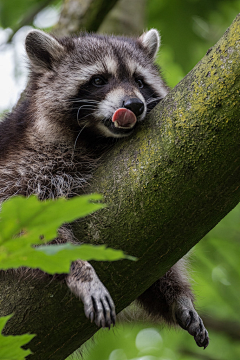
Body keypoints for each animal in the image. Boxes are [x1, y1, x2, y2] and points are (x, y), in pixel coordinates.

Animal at [0, 28, 208, 348]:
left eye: (139, 81)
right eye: (98, 80)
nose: (134, 105)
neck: (96, 139)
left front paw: (174, 294)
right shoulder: (25, 168)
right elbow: (24, 227)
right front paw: (81, 272)